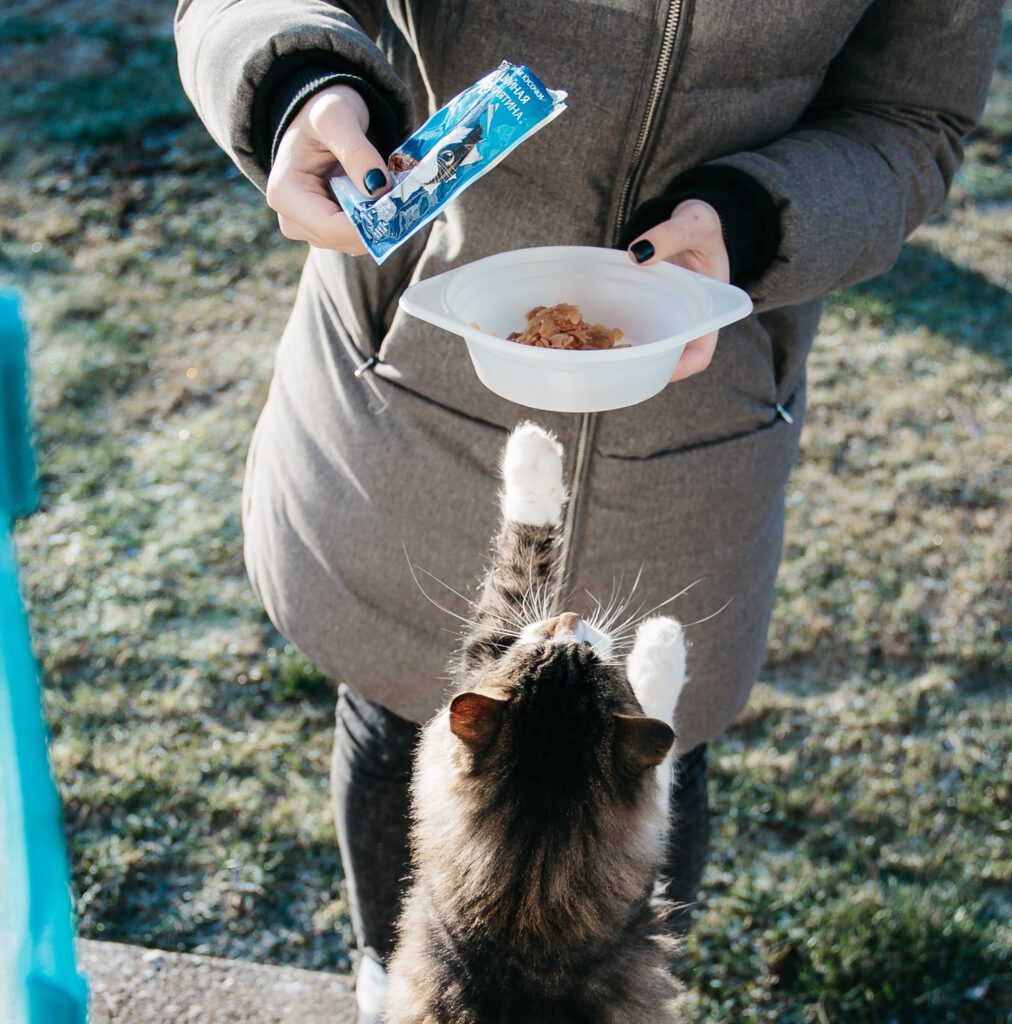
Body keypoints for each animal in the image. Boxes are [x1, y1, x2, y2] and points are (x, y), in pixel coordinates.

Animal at [383, 419, 692, 1019]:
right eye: (554, 645)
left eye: (576, 648)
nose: (569, 617)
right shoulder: (489, 647)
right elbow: (522, 561)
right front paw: (534, 449)